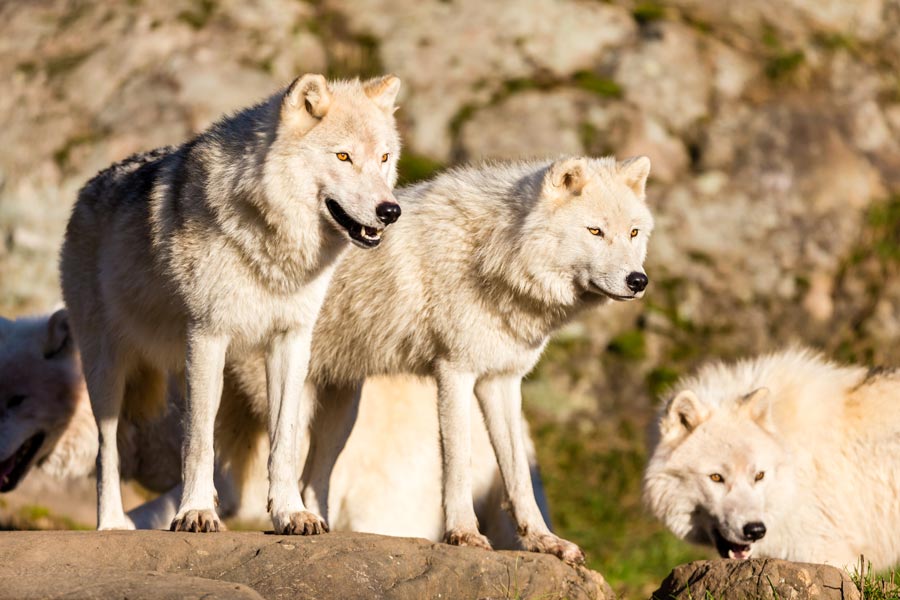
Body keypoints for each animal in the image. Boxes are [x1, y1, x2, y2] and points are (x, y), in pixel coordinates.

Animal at [59, 72, 400, 536]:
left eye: (384, 157)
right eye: (344, 156)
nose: (391, 210)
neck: (273, 246)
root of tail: (88, 188)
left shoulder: (291, 342)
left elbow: (284, 440)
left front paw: (291, 513)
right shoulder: (208, 336)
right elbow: (199, 441)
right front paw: (196, 512)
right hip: (109, 371)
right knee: (106, 449)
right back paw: (112, 523)